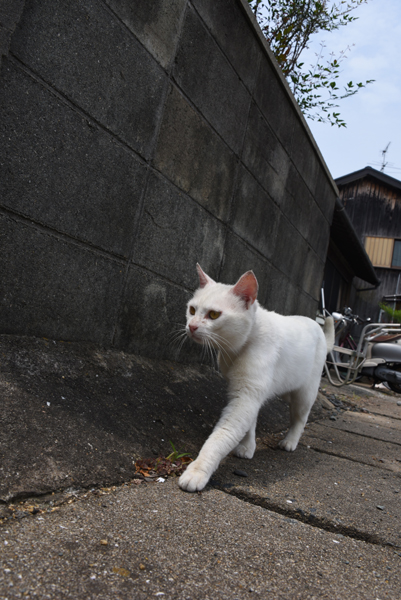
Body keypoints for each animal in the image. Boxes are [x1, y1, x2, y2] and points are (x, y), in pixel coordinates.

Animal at [179, 264, 334, 492]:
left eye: (214, 314)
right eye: (192, 310)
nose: (191, 326)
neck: (239, 347)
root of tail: (316, 324)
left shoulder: (246, 397)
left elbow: (220, 437)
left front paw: (197, 471)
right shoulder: (248, 394)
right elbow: (249, 424)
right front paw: (247, 447)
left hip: (304, 394)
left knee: (300, 418)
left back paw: (290, 442)